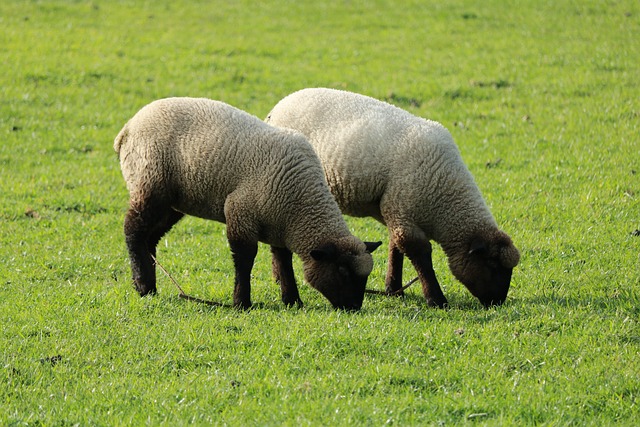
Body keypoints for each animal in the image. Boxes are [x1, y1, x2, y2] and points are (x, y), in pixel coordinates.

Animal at [114, 97, 380, 310]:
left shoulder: (278, 225)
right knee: (133, 230)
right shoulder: (240, 213)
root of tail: (128, 128)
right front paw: (242, 302)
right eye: (342, 271)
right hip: (149, 183)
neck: (300, 201)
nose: (354, 307)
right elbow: (245, 260)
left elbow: (284, 261)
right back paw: (142, 285)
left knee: (150, 237)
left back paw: (151, 285)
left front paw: (292, 300)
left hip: (172, 201)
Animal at [264, 88, 520, 308]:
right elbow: (420, 257)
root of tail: (279, 105)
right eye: (492, 264)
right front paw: (436, 300)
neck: (444, 191)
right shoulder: (404, 214)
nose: (498, 302)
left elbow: (395, 249)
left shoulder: (396, 211)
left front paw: (394, 289)